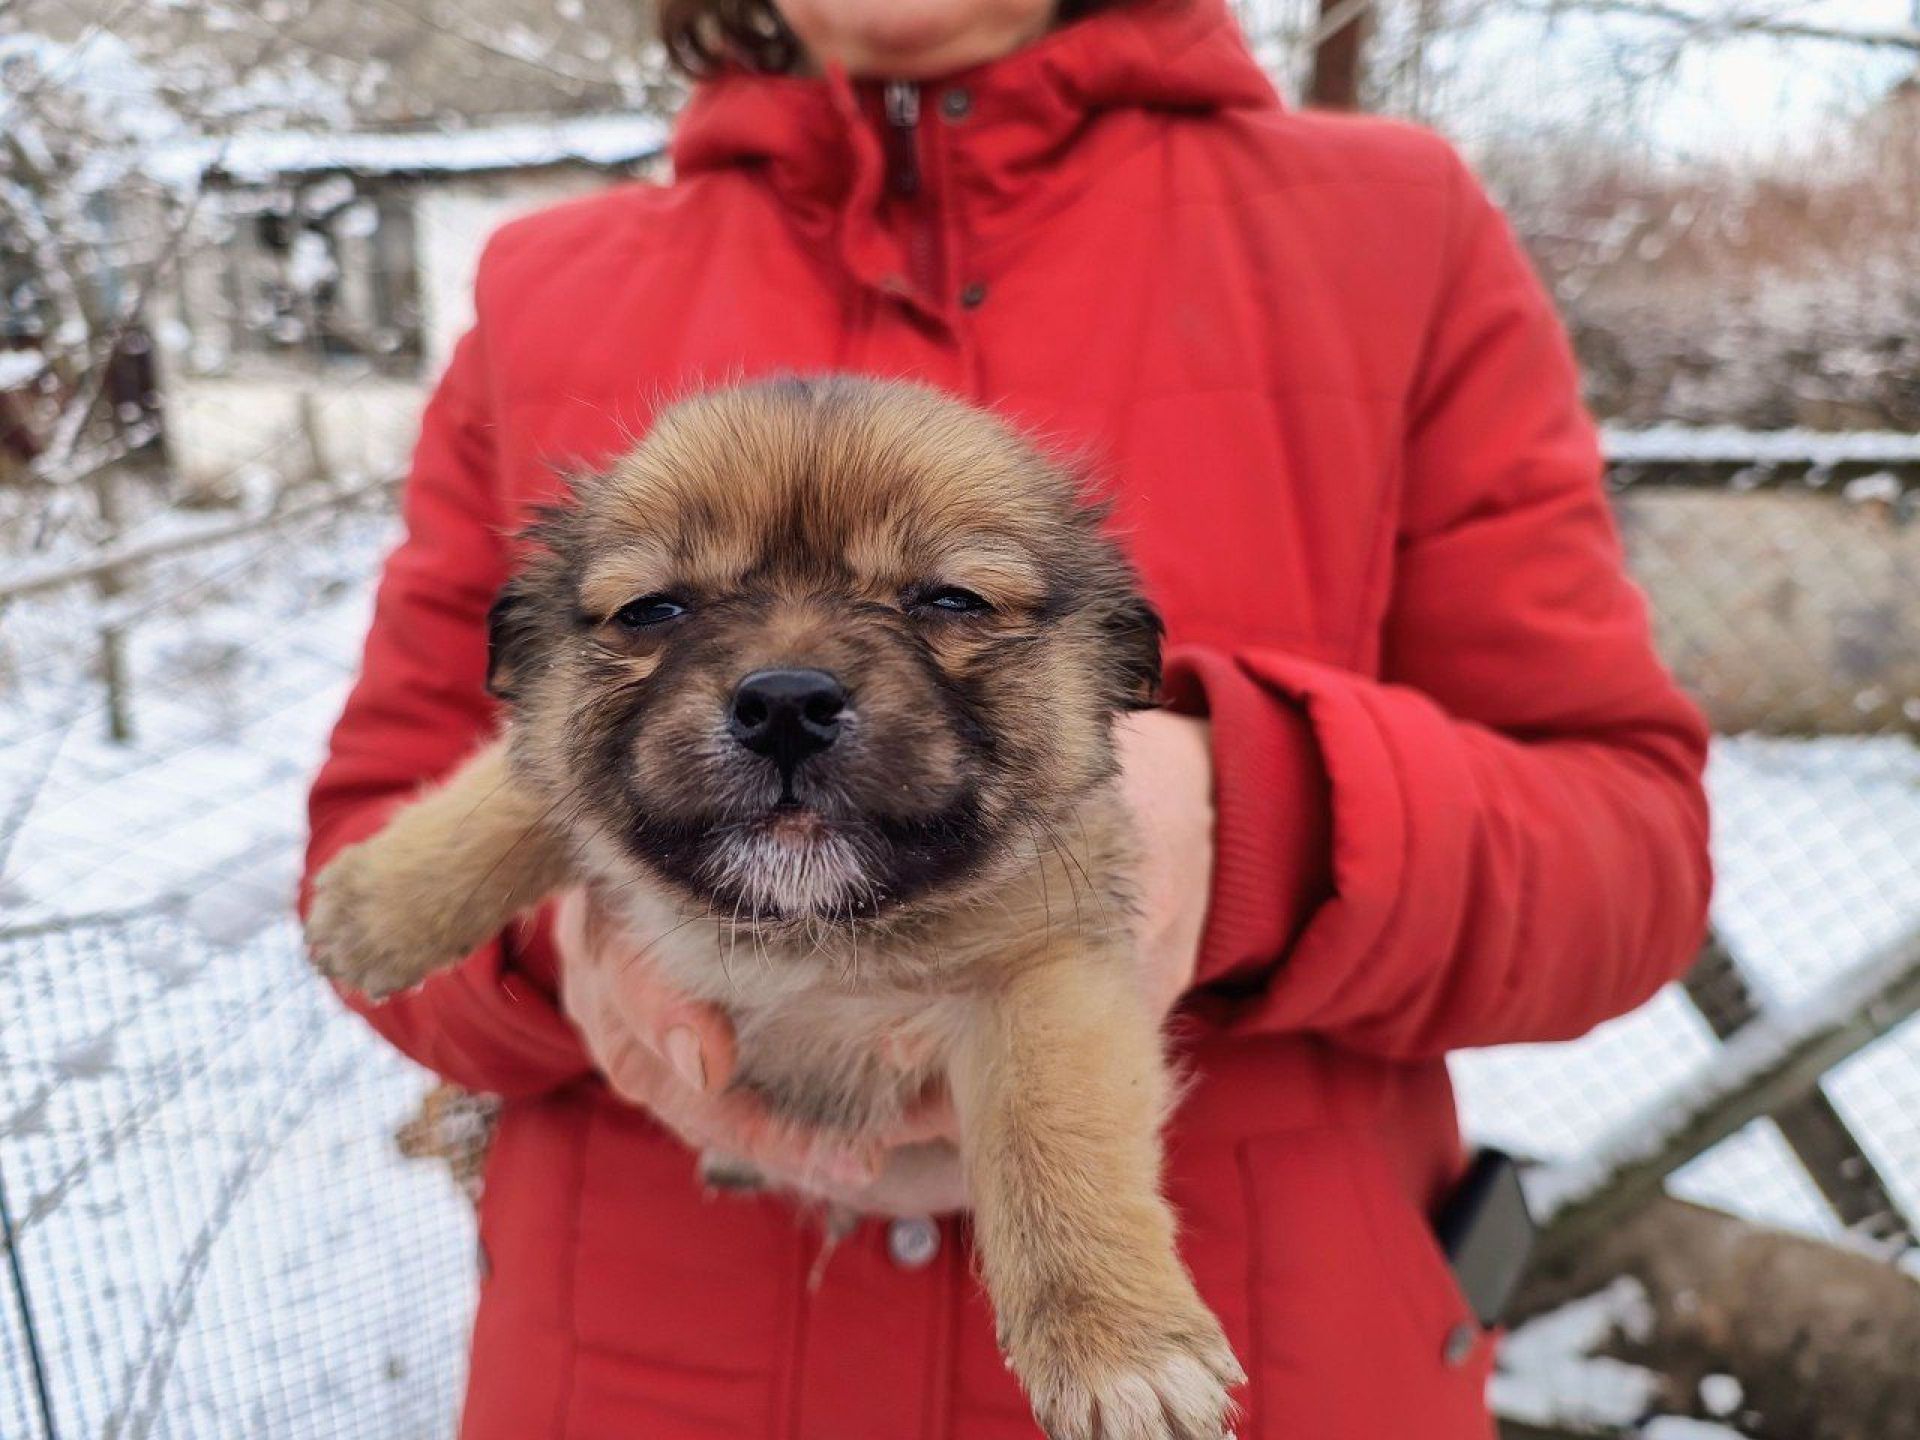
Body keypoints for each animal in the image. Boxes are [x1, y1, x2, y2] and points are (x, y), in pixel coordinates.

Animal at [306, 376, 1244, 1440]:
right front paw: (381, 901)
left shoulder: (1050, 970)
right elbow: (517, 784)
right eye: (652, 608)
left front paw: (1116, 1340)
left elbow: (1055, 1136)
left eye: (951, 600)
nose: (786, 703)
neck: (811, 933)